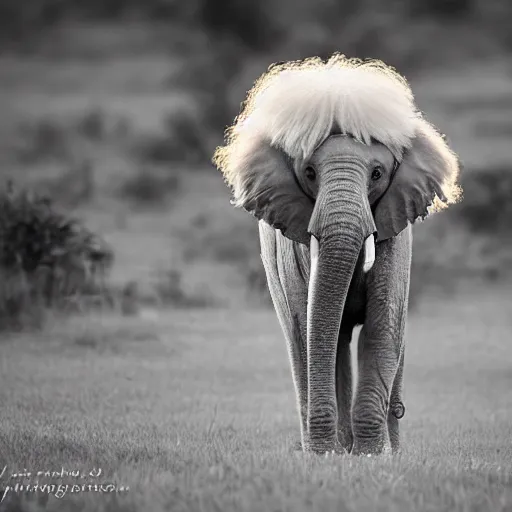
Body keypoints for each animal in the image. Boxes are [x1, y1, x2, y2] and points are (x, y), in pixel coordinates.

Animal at [212, 54, 464, 456]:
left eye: (377, 173)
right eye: (309, 172)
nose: (319, 450)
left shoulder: (394, 232)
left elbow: (381, 328)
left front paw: (371, 456)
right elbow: (307, 327)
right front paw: (330, 455)